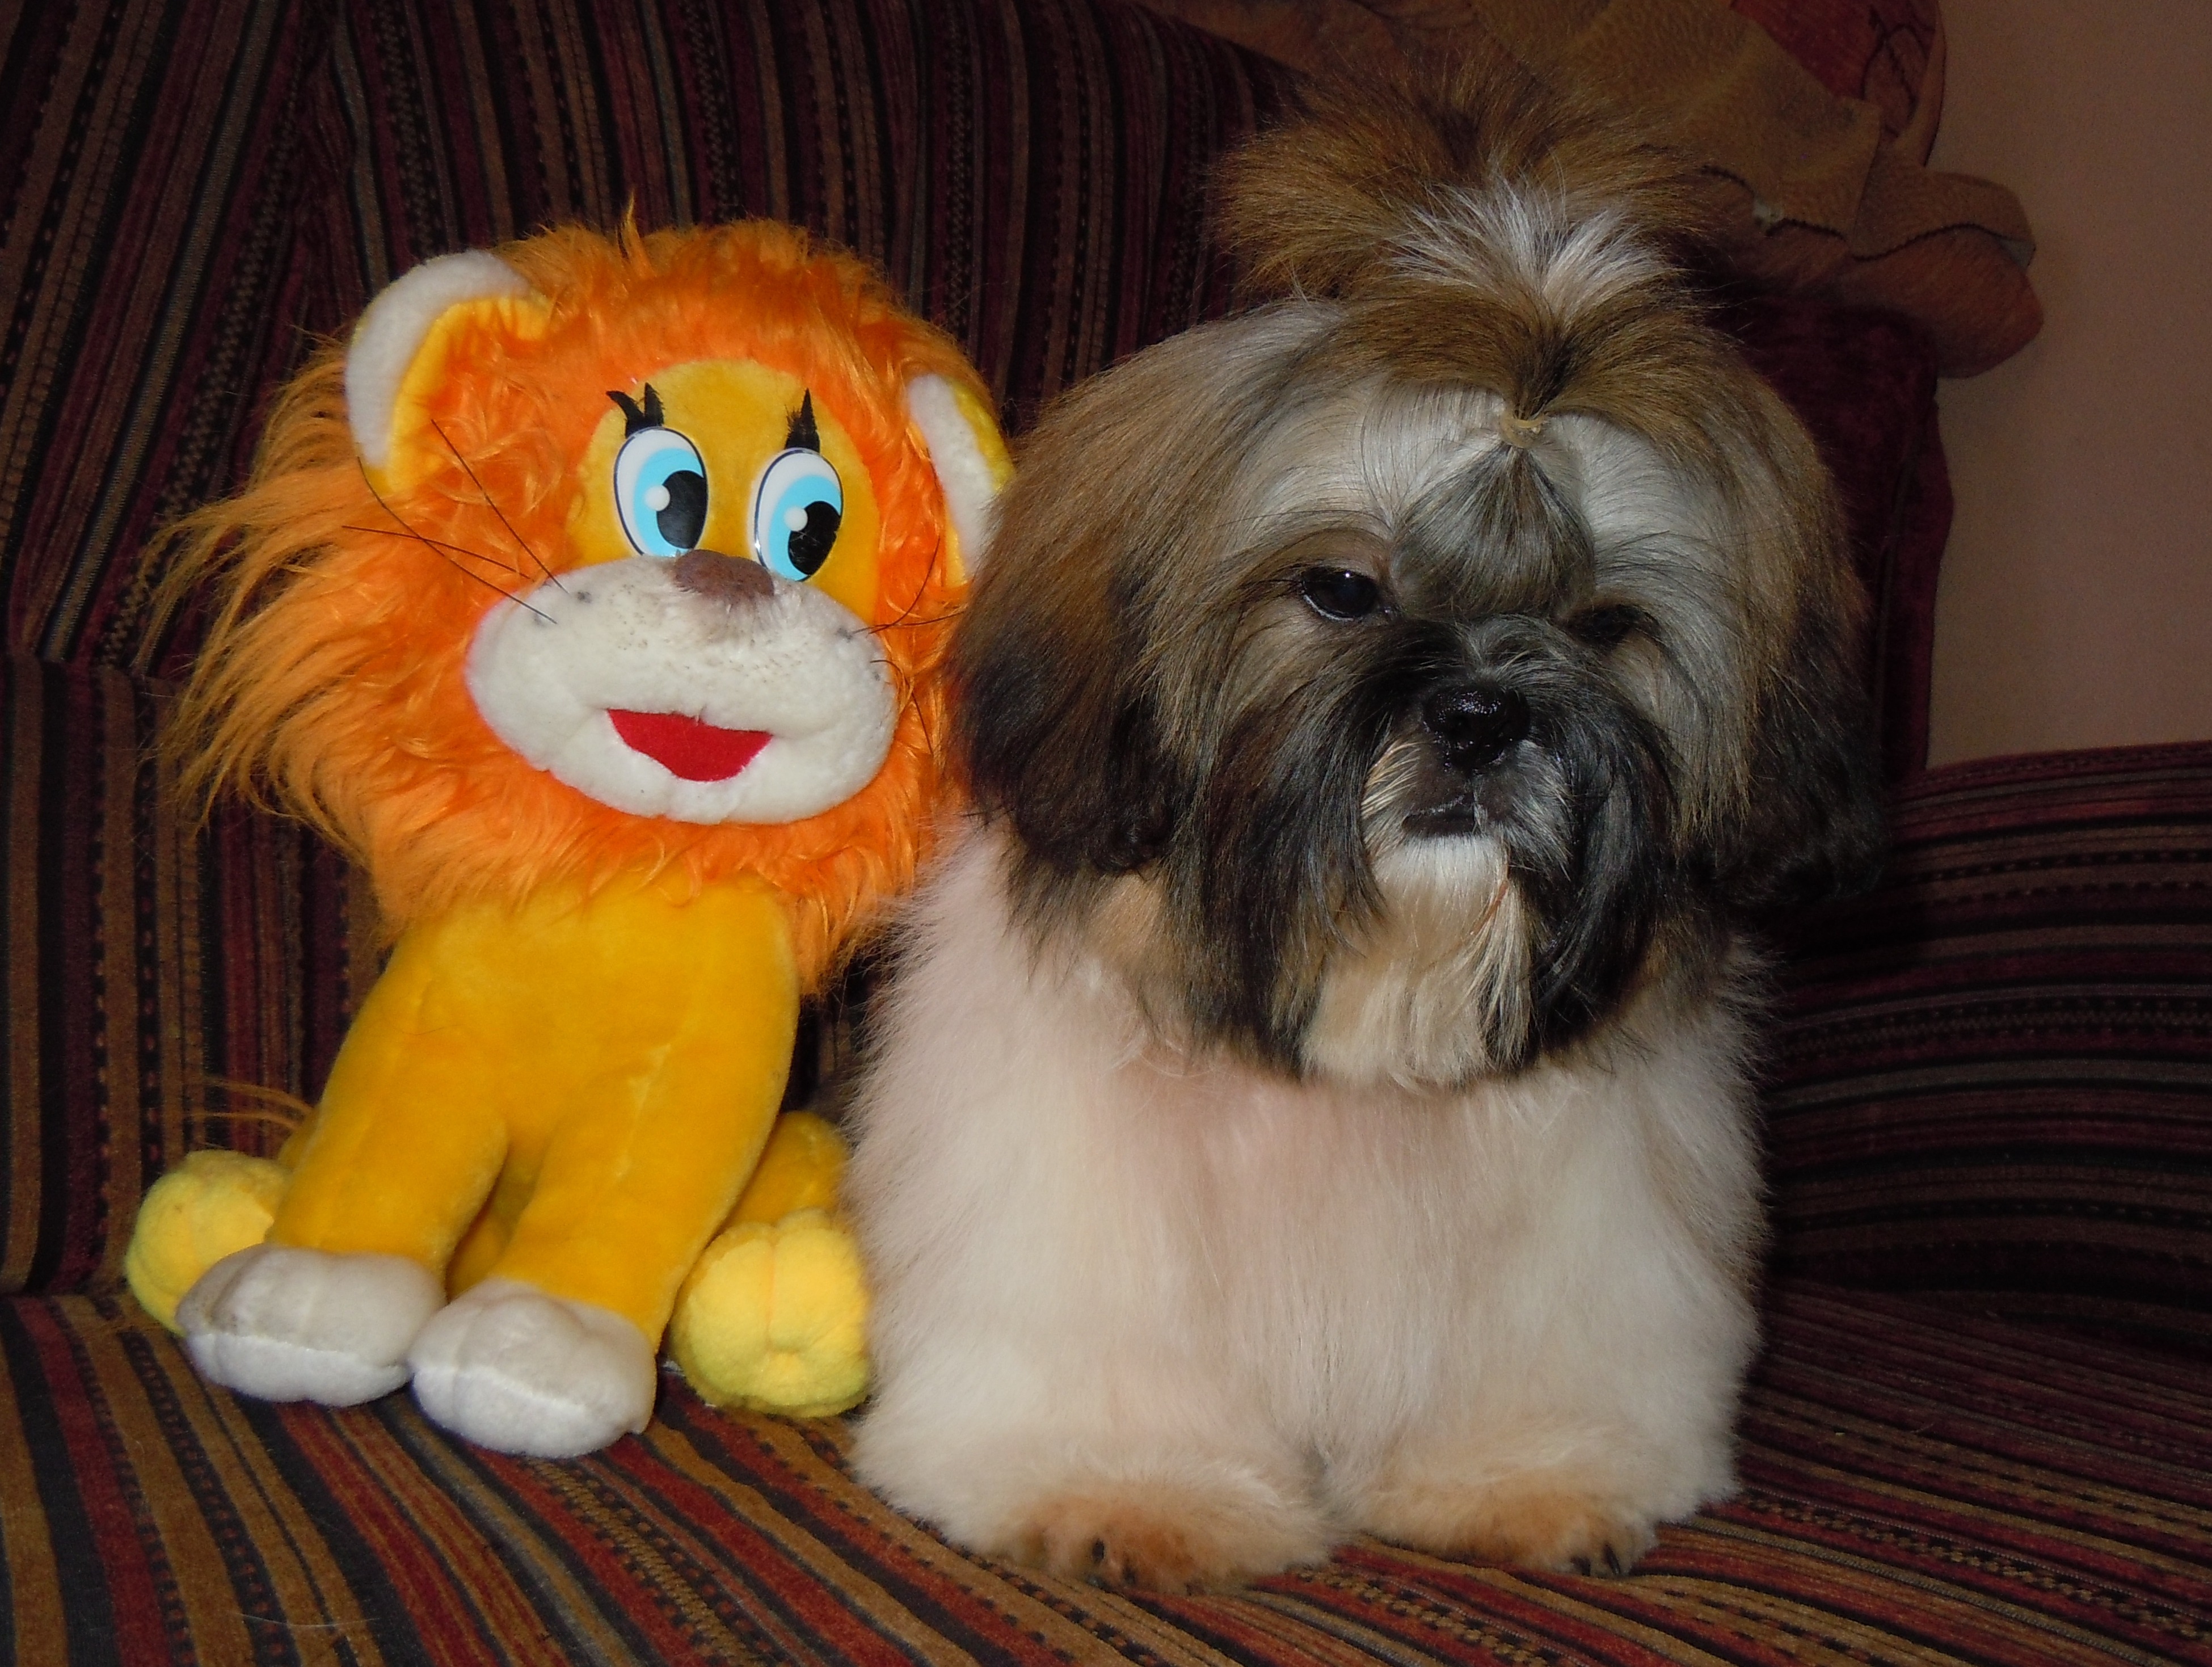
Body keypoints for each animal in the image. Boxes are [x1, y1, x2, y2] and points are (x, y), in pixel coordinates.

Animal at [843, 58, 1884, 1590]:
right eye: (1342, 588)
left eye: (1603, 627)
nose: (1482, 713)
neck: (1367, 1013)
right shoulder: (1076, 1204)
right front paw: (1125, 1486)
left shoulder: (1590, 1220)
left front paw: (1528, 1475)